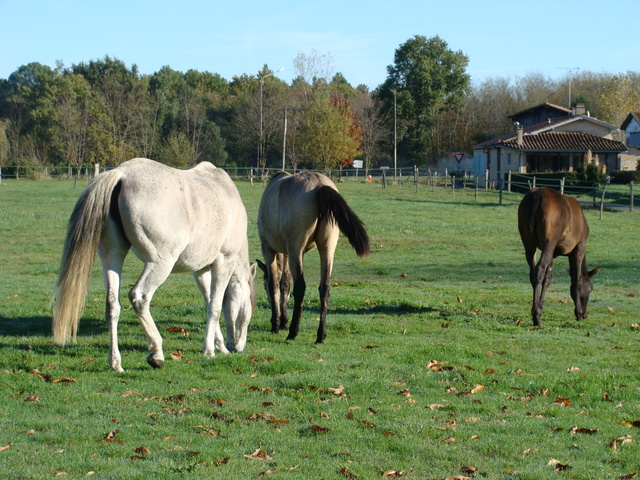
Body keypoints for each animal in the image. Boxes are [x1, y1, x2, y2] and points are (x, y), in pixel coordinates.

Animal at [52, 158, 256, 372]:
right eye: (250, 305)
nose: (238, 347)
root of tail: (122, 174)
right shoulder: (224, 262)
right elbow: (215, 306)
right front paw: (210, 350)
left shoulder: (200, 271)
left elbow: (209, 301)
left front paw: (220, 345)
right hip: (159, 264)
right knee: (140, 297)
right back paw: (156, 352)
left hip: (112, 257)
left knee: (112, 305)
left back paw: (116, 362)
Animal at [256, 171, 370, 344]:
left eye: (263, 288)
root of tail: (318, 185)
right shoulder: (288, 253)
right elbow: (285, 284)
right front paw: (283, 321)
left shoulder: (269, 250)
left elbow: (274, 284)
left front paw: (276, 324)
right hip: (327, 248)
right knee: (325, 288)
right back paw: (320, 335)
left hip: (295, 249)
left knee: (300, 287)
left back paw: (293, 332)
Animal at [516, 188, 600, 326]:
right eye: (590, 288)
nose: (586, 314)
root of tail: (536, 195)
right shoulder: (579, 246)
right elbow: (576, 279)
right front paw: (578, 314)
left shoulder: (554, 253)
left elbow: (548, 278)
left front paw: (541, 305)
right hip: (549, 240)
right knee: (539, 268)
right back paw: (536, 317)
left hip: (527, 239)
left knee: (532, 272)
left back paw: (536, 311)